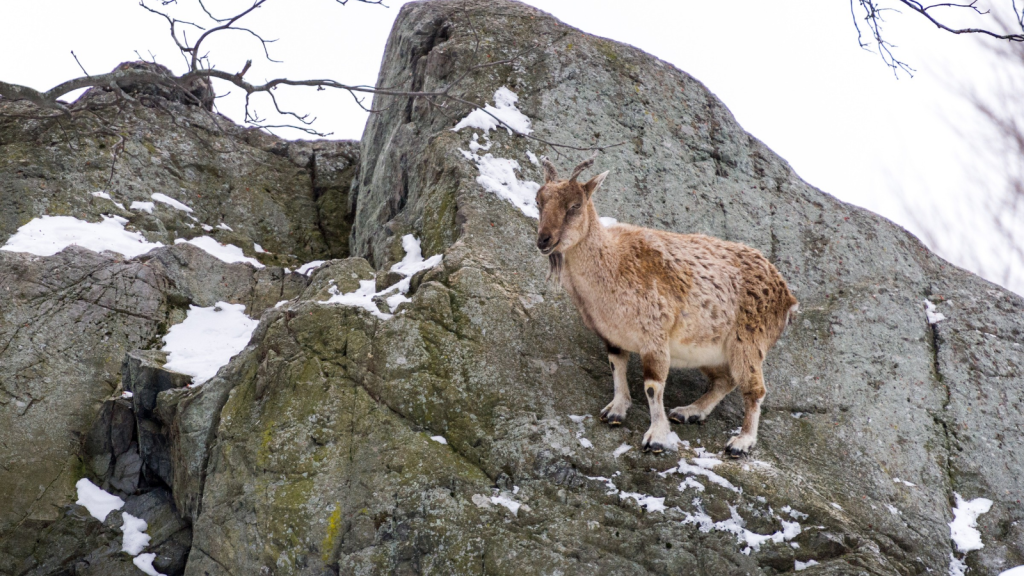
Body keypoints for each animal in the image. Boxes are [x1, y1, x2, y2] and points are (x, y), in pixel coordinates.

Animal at [536, 154, 798, 455]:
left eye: (575, 206)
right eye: (538, 202)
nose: (544, 240)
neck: (611, 265)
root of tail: (787, 296)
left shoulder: (654, 334)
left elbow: (653, 385)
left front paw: (656, 437)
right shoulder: (611, 334)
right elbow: (616, 366)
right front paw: (615, 411)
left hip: (748, 342)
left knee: (754, 390)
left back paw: (741, 441)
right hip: (708, 348)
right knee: (725, 380)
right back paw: (689, 411)